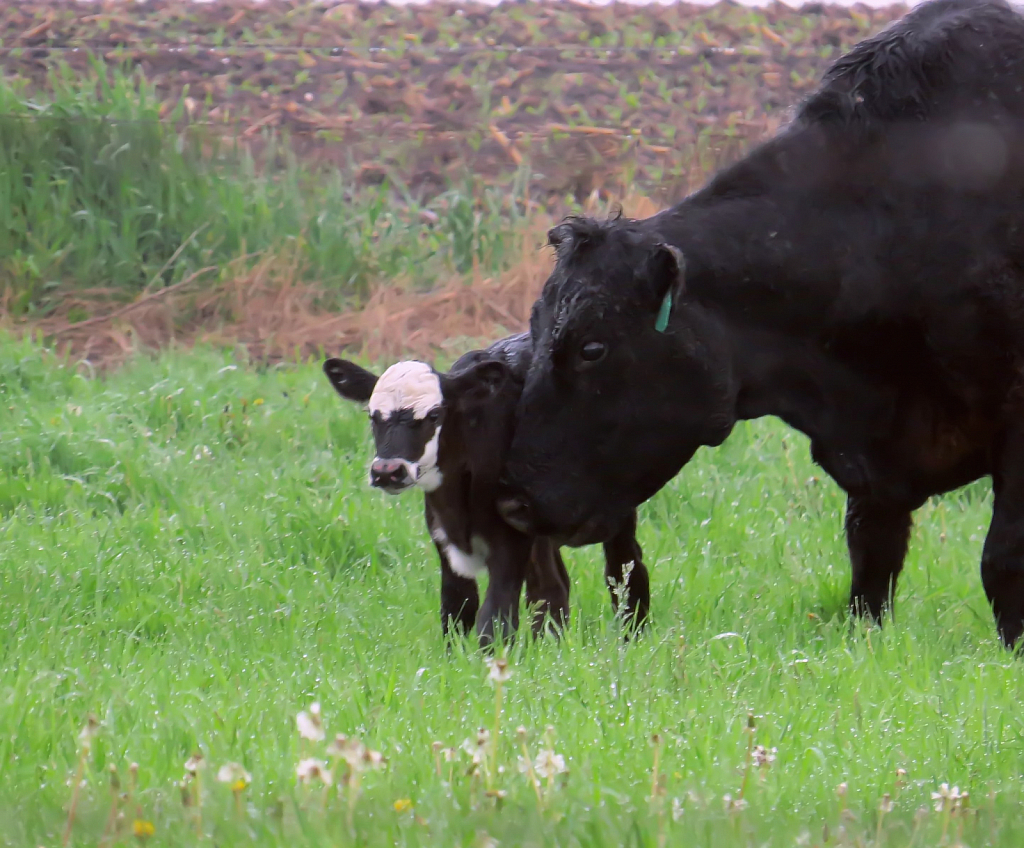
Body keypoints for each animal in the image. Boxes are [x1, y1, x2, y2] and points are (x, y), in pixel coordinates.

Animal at [323, 331, 647, 643]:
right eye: (372, 416)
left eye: (434, 414)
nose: (387, 471)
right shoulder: (445, 542)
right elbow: (457, 611)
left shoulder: (509, 543)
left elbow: (495, 621)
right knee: (552, 587)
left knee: (624, 572)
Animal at [499, 0, 1024, 647]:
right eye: (537, 328)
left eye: (592, 347)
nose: (514, 501)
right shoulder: (874, 467)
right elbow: (870, 563)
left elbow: (1002, 556)